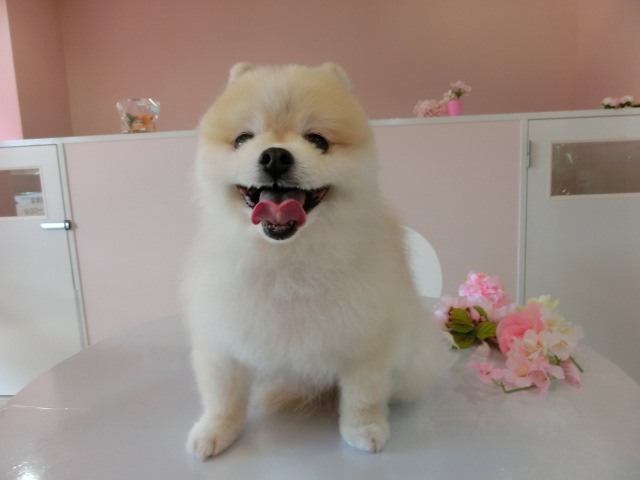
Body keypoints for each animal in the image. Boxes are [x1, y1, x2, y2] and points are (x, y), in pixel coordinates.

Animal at [183, 63, 436, 460]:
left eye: (318, 140)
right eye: (242, 139)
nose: (274, 155)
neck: (288, 258)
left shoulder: (368, 338)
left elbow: (363, 394)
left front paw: (364, 428)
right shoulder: (221, 339)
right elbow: (223, 396)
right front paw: (215, 431)